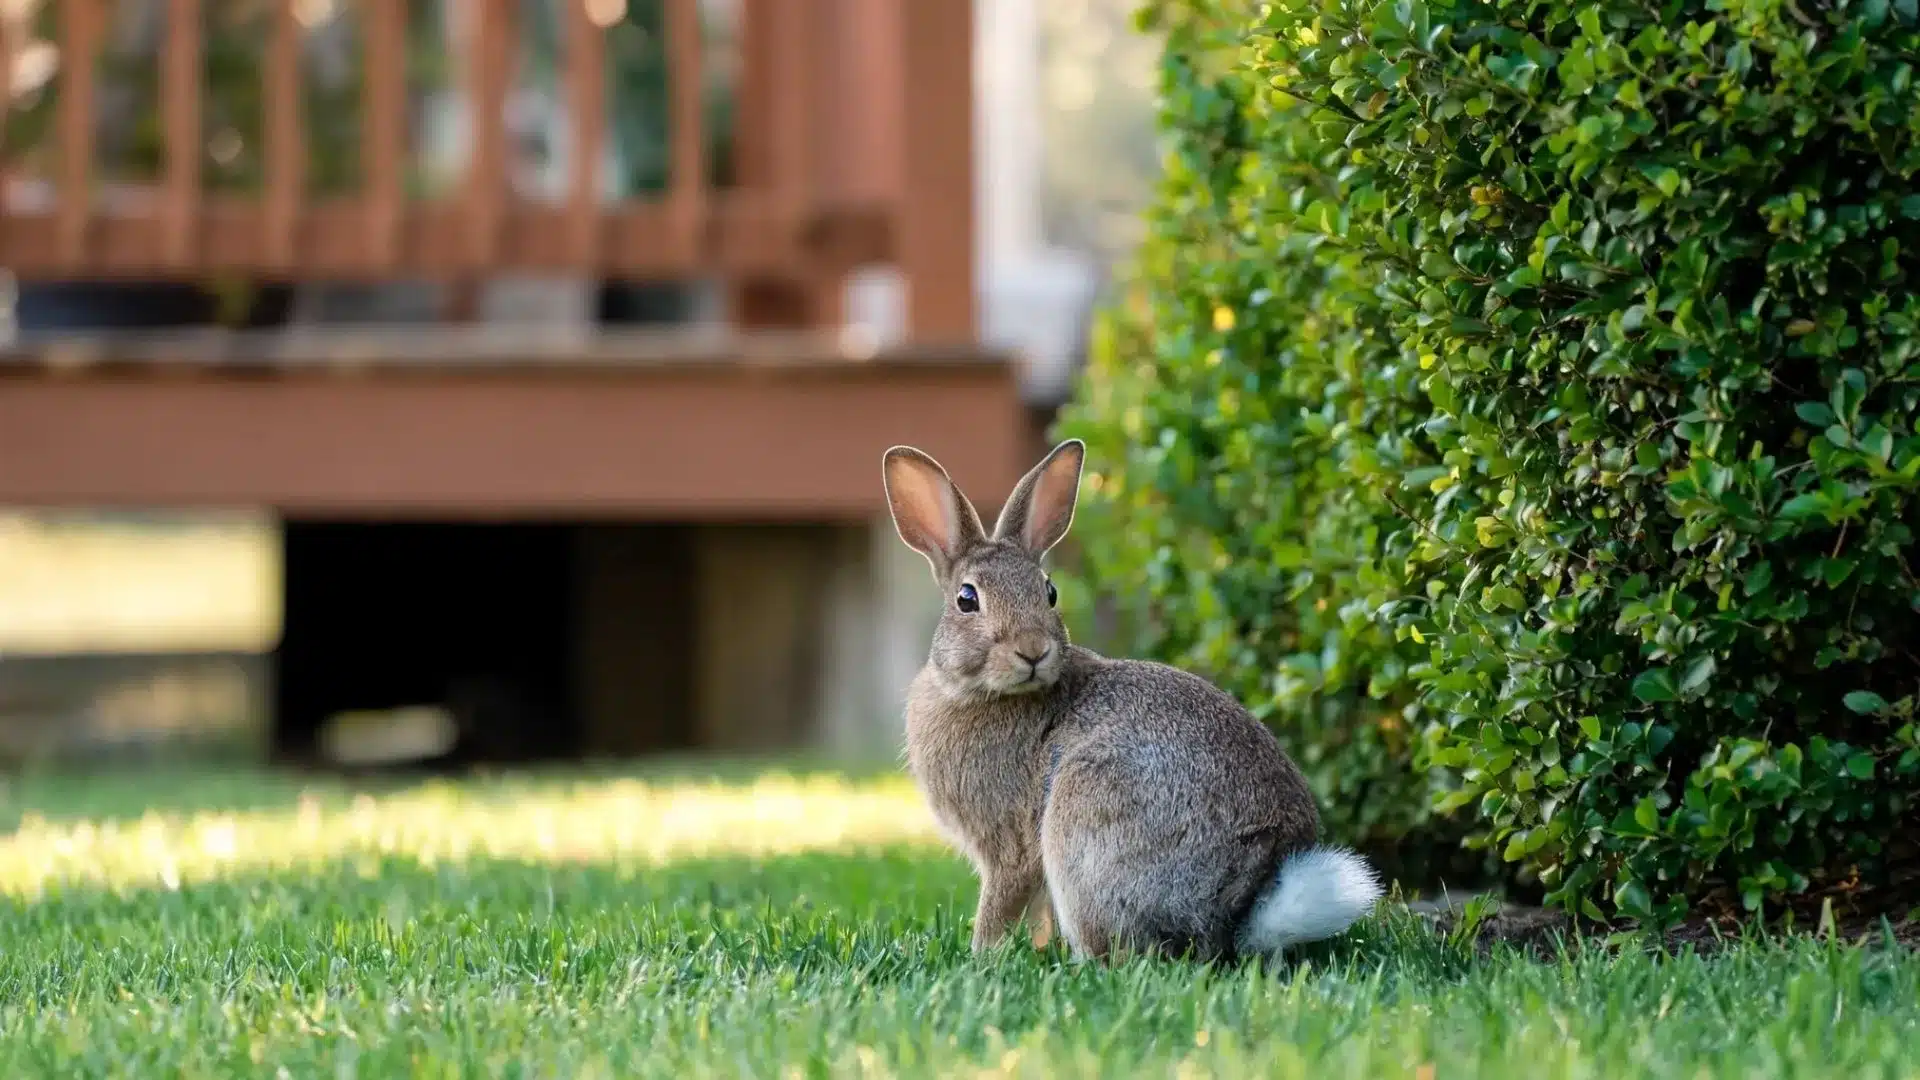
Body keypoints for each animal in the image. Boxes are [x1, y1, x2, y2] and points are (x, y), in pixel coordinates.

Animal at [883, 438, 1382, 962]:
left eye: (1049, 592)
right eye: (966, 599)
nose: (1033, 650)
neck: (979, 691)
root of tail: (1239, 912)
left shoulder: (1010, 846)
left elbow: (1000, 903)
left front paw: (981, 955)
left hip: (1084, 816)